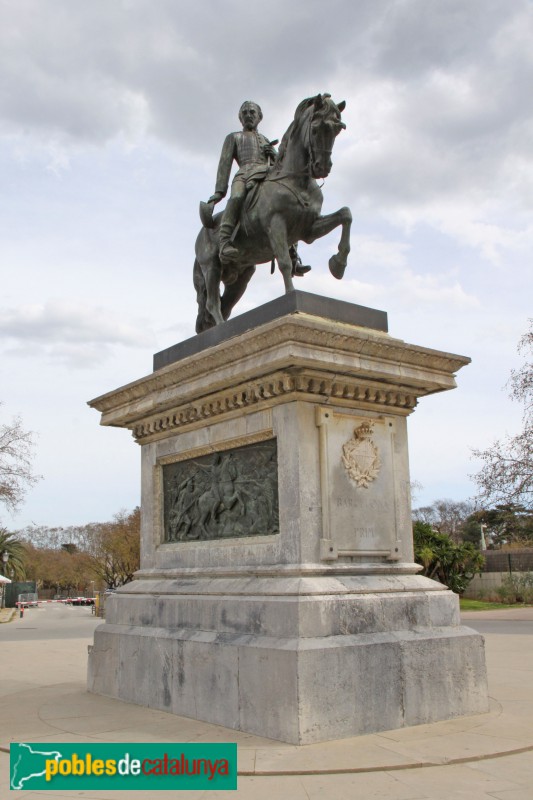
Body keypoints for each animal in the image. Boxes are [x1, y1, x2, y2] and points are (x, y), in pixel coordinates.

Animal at [193, 93, 352, 332]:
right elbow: (284, 260)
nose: (322, 167)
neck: (297, 181)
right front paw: (291, 294)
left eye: (337, 128)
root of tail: (202, 233)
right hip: (211, 267)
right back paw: (221, 328)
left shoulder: (309, 230)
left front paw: (338, 264)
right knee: (213, 303)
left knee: (225, 304)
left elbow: (345, 214)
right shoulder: (275, 226)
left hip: (242, 274)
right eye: (315, 128)